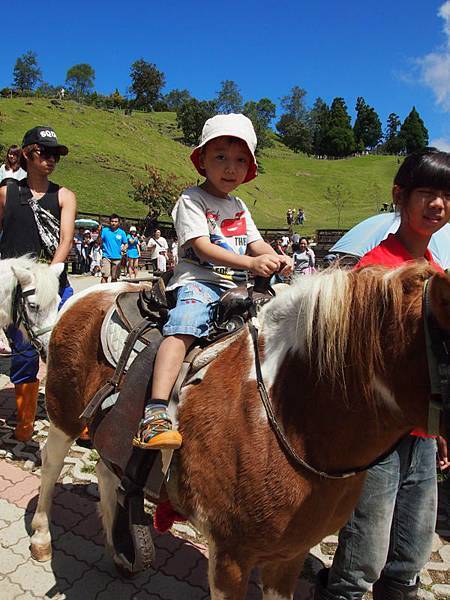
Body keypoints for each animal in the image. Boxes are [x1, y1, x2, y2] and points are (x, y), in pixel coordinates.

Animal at [29, 264, 448, 600]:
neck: (285, 415)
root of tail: (90, 293)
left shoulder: (290, 555)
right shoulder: (230, 556)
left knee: (106, 471)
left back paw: (119, 552)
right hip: (65, 416)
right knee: (51, 464)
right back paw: (41, 539)